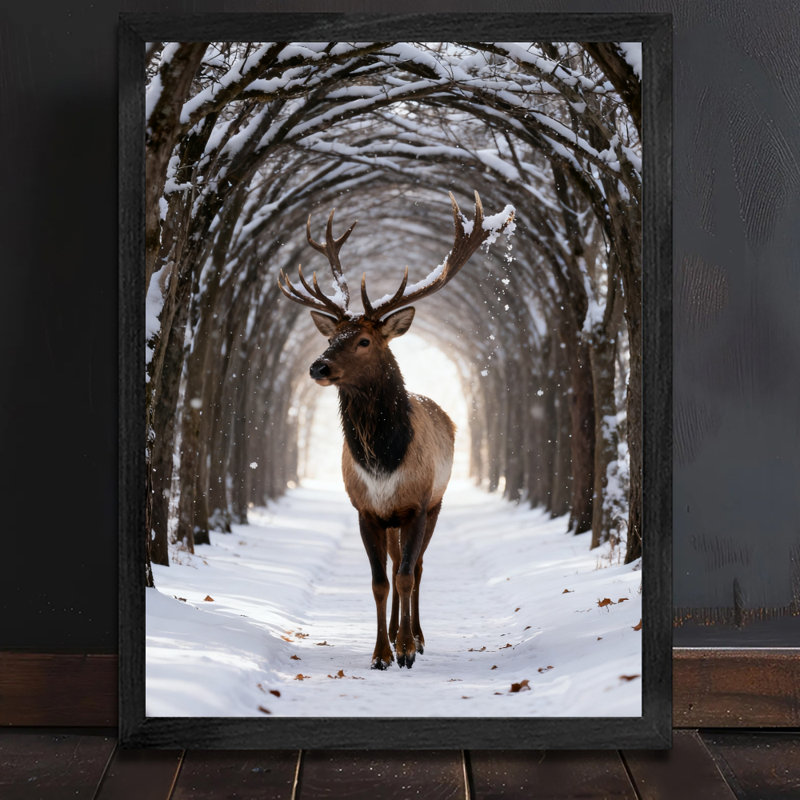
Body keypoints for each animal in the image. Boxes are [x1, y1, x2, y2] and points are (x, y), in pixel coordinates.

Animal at [278, 191, 514, 669]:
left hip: (436, 503)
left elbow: (406, 576)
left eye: (364, 340)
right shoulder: (367, 510)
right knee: (394, 566)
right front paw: (380, 653)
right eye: (331, 336)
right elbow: (379, 581)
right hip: (390, 522)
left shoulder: (417, 504)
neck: (384, 462)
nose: (318, 366)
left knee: (418, 568)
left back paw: (419, 638)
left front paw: (405, 649)